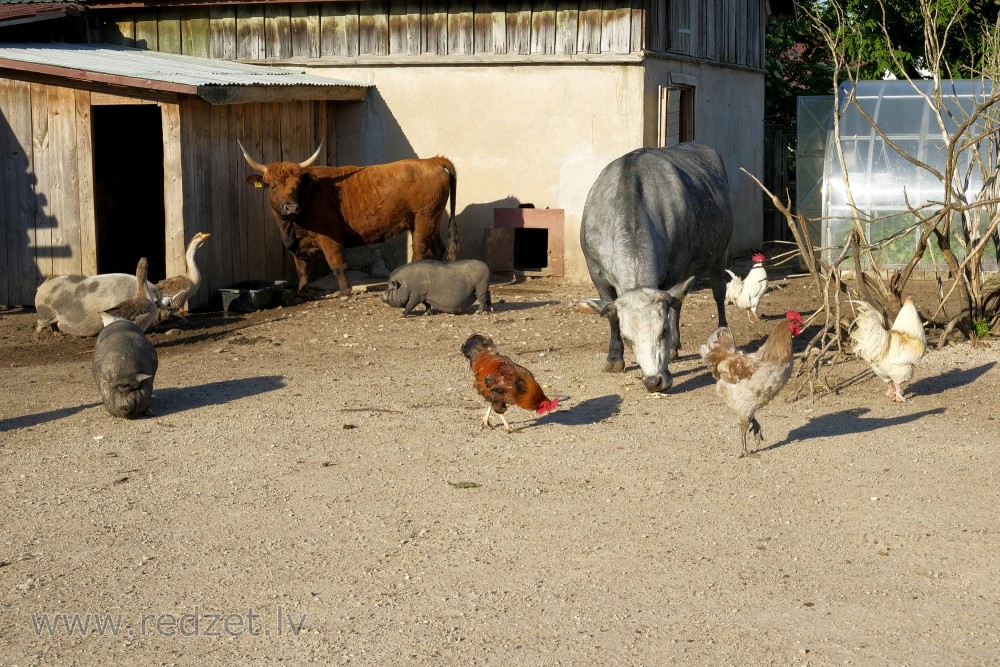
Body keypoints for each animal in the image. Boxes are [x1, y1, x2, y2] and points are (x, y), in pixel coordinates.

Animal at [240, 142, 458, 296]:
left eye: (297, 184)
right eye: (273, 186)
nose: (291, 207)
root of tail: (432, 160)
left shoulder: (330, 237)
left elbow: (336, 264)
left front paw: (345, 291)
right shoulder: (299, 244)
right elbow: (302, 269)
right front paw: (300, 293)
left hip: (423, 219)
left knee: (420, 251)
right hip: (431, 220)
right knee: (438, 247)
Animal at [580, 141, 736, 392]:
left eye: (663, 330)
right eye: (627, 338)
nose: (654, 381)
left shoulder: (676, 268)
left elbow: (672, 308)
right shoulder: (595, 271)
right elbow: (611, 315)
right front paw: (614, 358)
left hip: (720, 253)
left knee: (718, 293)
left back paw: (721, 333)